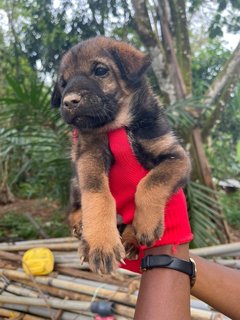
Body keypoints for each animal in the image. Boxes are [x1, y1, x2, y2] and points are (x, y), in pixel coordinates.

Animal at [52, 36, 191, 274]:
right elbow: (97, 194)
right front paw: (101, 242)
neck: (121, 124)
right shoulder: (89, 154)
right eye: (63, 83)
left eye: (100, 70)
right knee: (73, 209)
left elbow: (151, 183)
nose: (69, 101)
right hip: (75, 183)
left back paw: (129, 240)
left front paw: (145, 224)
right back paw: (81, 226)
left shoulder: (177, 157)